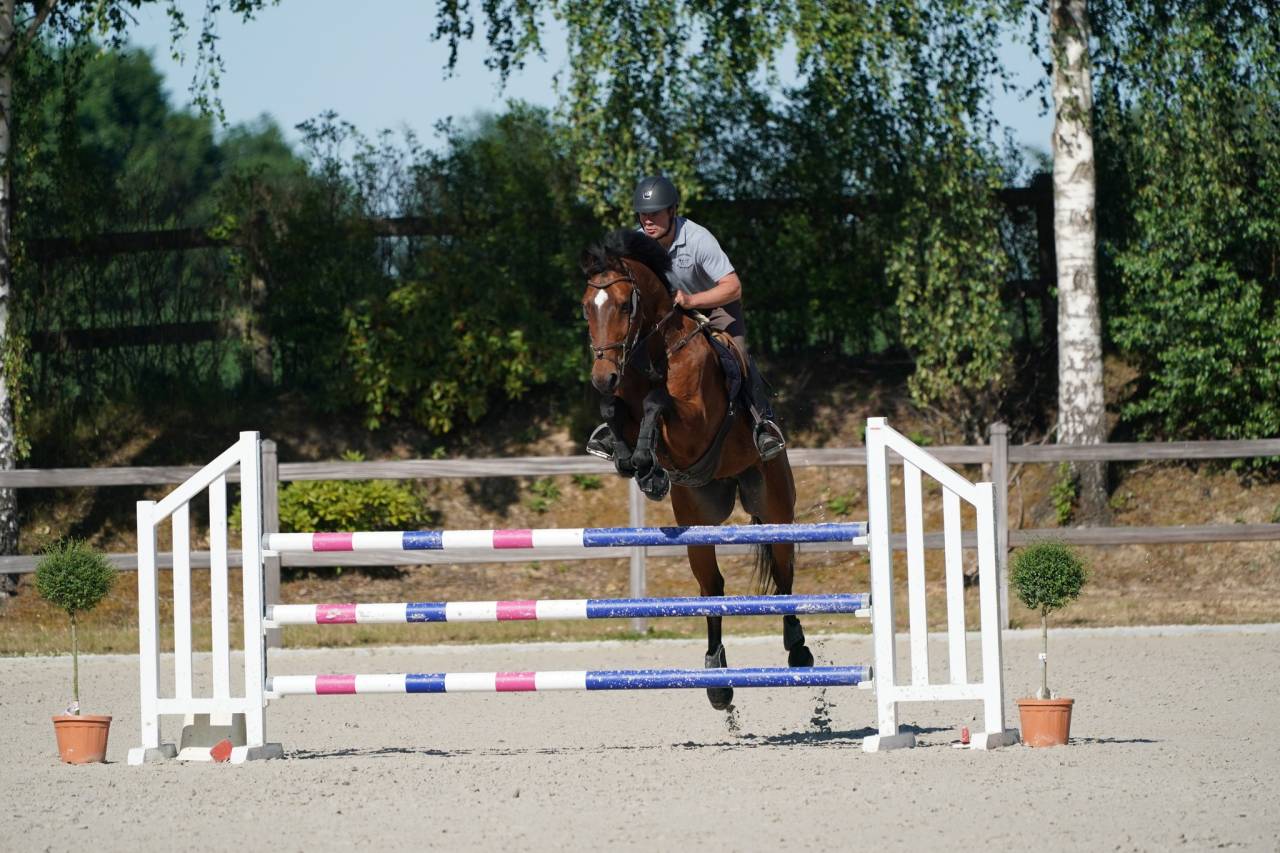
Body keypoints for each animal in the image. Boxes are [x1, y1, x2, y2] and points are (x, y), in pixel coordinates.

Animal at [579, 229, 812, 710]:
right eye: (586, 306)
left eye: (625, 305)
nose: (602, 377)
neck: (653, 352)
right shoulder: (627, 405)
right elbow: (616, 411)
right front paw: (638, 466)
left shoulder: (693, 424)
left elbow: (657, 402)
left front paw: (645, 462)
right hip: (696, 519)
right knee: (712, 587)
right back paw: (717, 680)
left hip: (775, 504)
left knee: (783, 573)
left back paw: (797, 649)